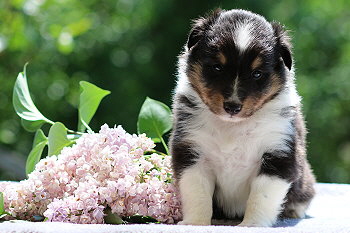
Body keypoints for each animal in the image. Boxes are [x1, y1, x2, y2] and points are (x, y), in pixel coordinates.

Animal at [170, 9, 318, 228]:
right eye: (217, 67)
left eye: (257, 73)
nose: (232, 106)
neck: (233, 126)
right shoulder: (192, 152)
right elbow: (197, 193)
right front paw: (195, 223)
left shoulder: (277, 154)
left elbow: (261, 197)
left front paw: (252, 225)